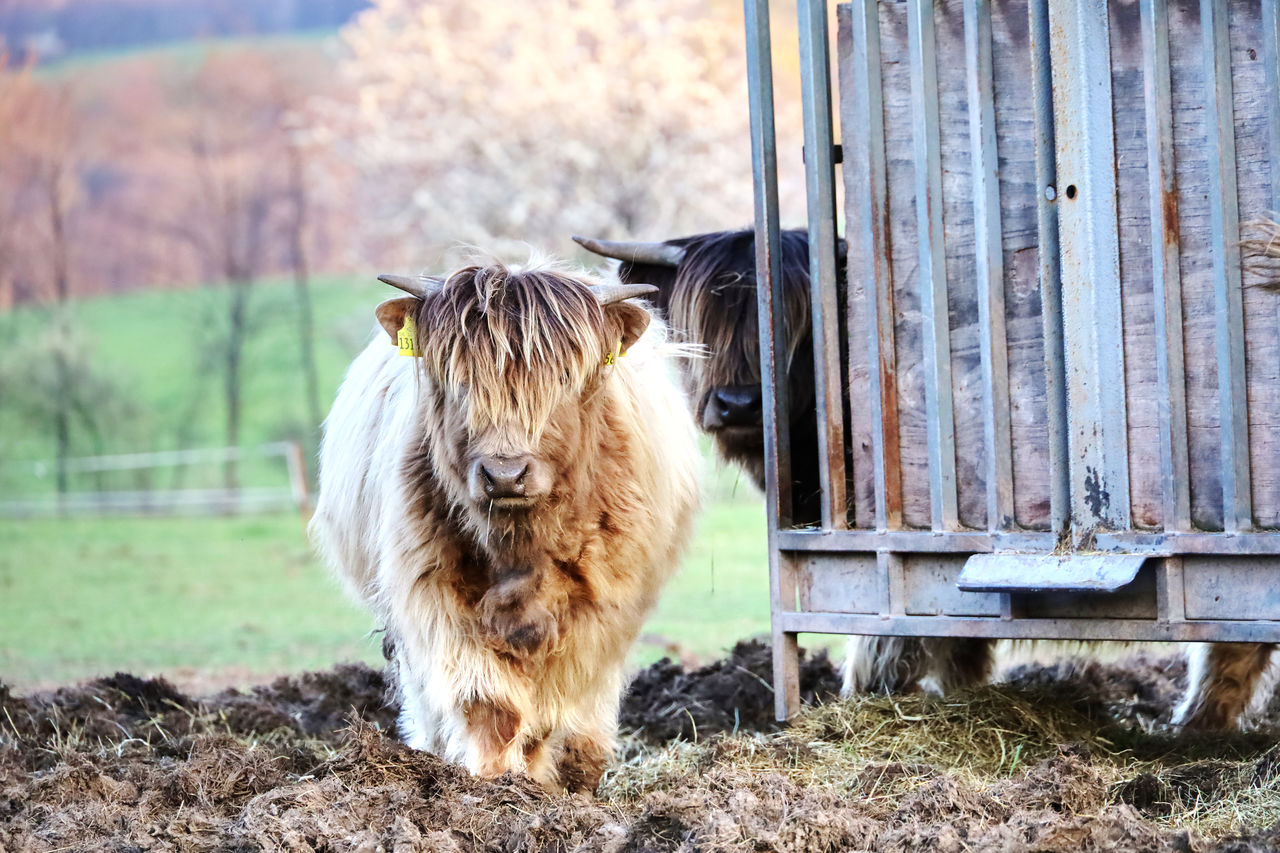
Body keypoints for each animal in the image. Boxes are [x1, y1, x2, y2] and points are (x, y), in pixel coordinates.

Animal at [314, 256, 706, 788]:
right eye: (458, 379)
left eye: (564, 376)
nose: (505, 474)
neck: (519, 547)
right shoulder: (430, 590)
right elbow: (489, 704)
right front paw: (495, 783)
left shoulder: (597, 607)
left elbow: (553, 702)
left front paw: (541, 779)